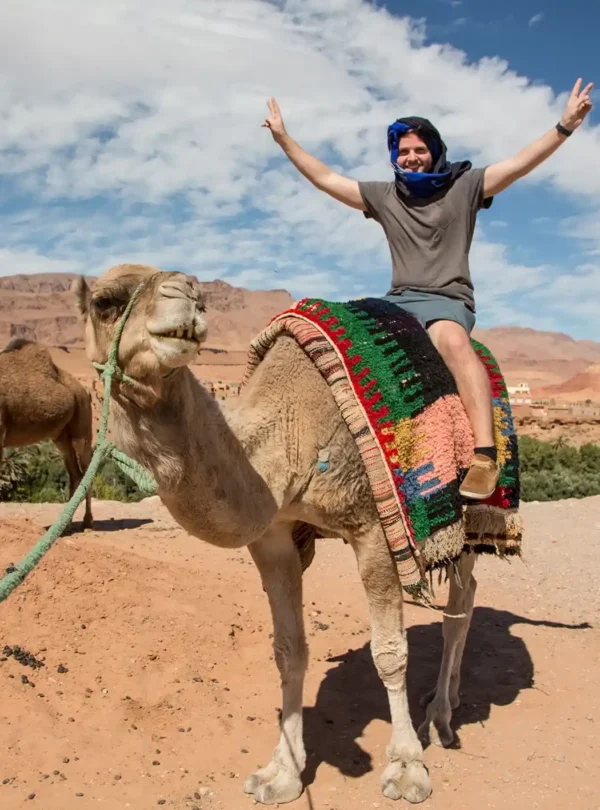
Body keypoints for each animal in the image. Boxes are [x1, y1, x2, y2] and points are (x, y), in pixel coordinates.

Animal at [0, 339, 93, 529]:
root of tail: (83, 389)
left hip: (82, 421)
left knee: (85, 467)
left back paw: (87, 521)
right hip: (61, 437)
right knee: (75, 474)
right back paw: (65, 524)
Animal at [73, 264, 489, 805]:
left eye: (199, 296)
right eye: (105, 303)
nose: (186, 292)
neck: (292, 433)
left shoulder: (372, 526)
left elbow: (389, 653)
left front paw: (406, 768)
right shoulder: (274, 537)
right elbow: (289, 651)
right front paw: (282, 772)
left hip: (467, 515)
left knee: (459, 605)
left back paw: (439, 716)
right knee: (466, 599)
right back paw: (447, 699)